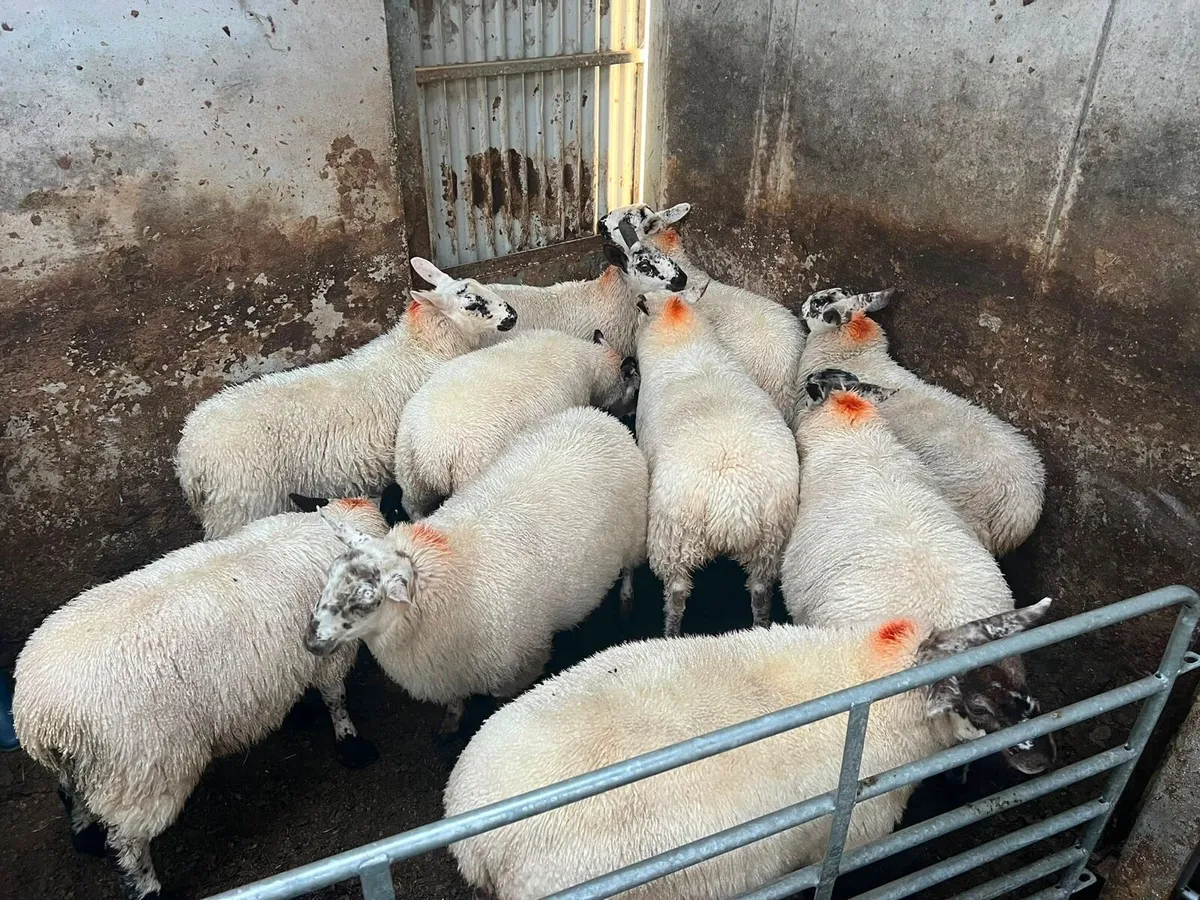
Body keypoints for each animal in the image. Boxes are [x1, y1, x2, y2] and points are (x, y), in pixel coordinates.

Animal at [12, 498, 389, 900]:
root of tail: (43, 718)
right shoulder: (332, 653)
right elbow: (336, 698)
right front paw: (351, 744)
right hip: (141, 771)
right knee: (128, 844)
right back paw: (148, 888)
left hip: (86, 766)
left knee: (69, 793)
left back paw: (86, 839)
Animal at [305, 406, 649, 734]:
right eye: (330, 577)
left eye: (367, 598)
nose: (310, 642)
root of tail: (599, 417)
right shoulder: (447, 672)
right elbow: (456, 701)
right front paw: (451, 722)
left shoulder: (518, 667)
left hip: (633, 536)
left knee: (630, 572)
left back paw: (626, 604)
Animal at [393, 329, 640, 519]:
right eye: (635, 390)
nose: (631, 414)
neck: (590, 363)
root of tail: (430, 453)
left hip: (410, 475)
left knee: (412, 507)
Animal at [444, 602, 1053, 900]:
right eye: (979, 709)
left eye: (1018, 674)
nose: (1045, 754)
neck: (867, 684)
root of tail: (473, 833)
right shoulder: (841, 844)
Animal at [634, 283, 800, 636]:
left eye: (642, 305)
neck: (681, 340)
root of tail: (733, 506)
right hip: (770, 542)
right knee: (760, 590)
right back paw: (761, 626)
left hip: (674, 542)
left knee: (678, 592)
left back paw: (670, 633)